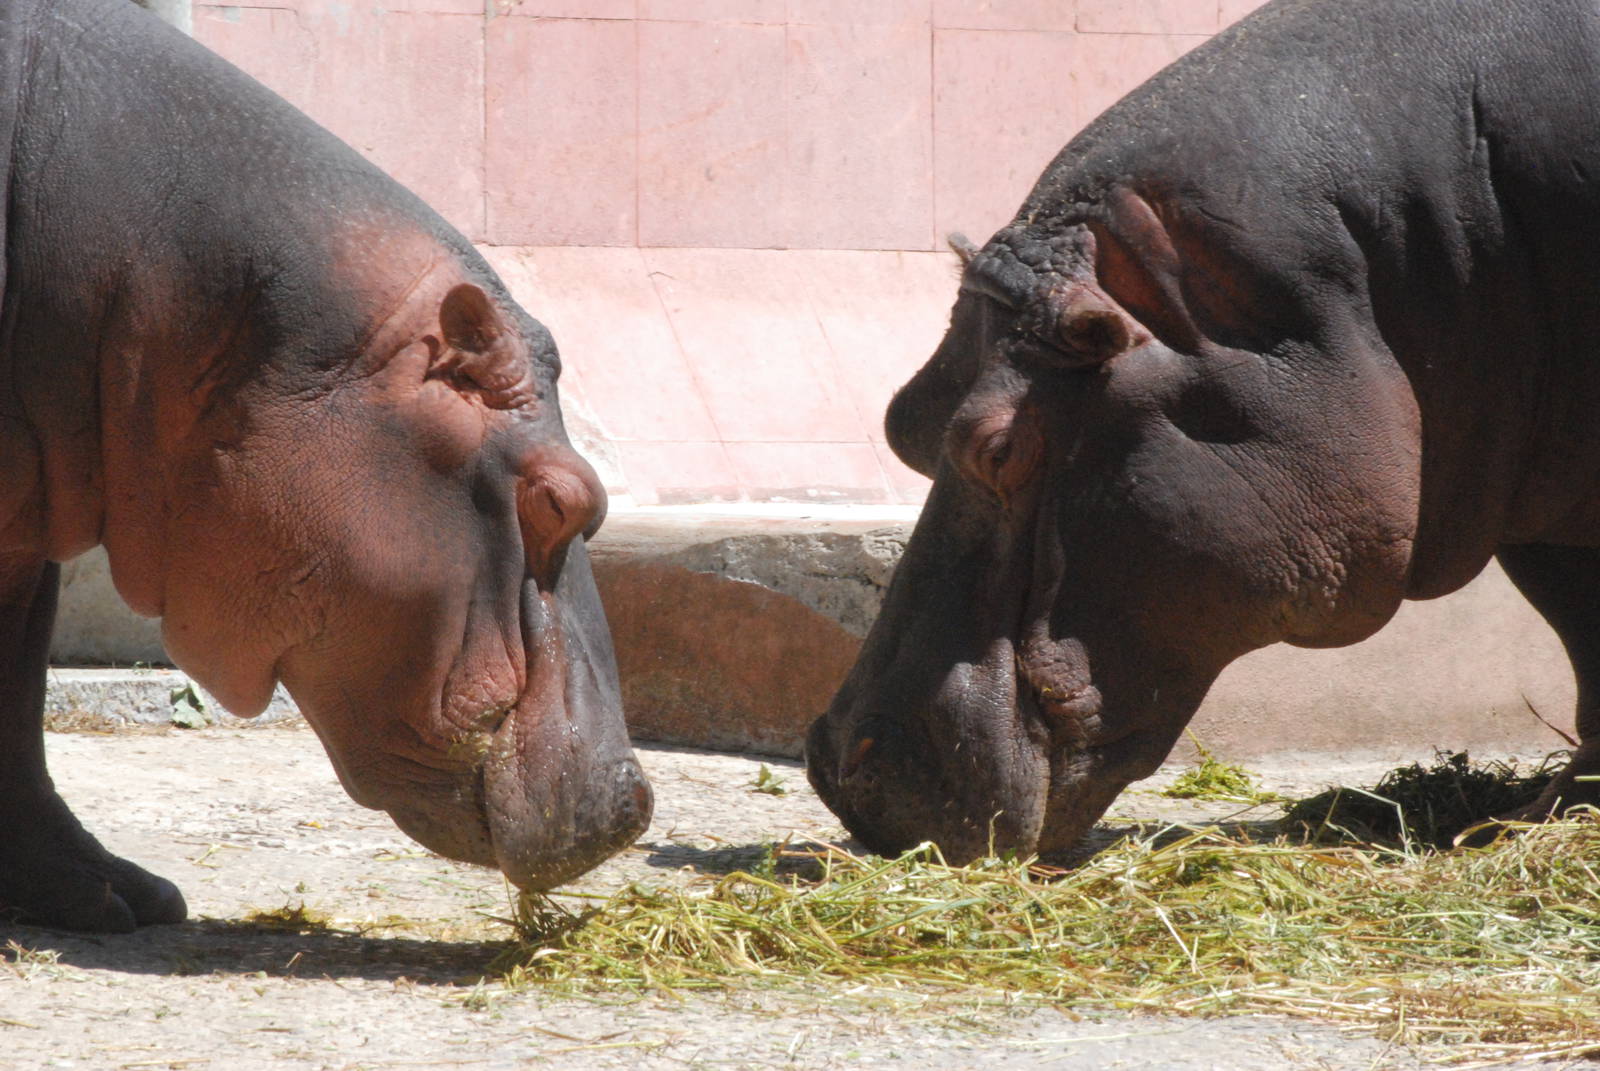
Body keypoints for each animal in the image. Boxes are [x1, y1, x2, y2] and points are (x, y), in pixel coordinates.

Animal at [807, 0, 1600, 862]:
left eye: (996, 448)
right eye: (904, 418)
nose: (835, 760)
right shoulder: (1533, 483)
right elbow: (1581, 625)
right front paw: (1545, 814)